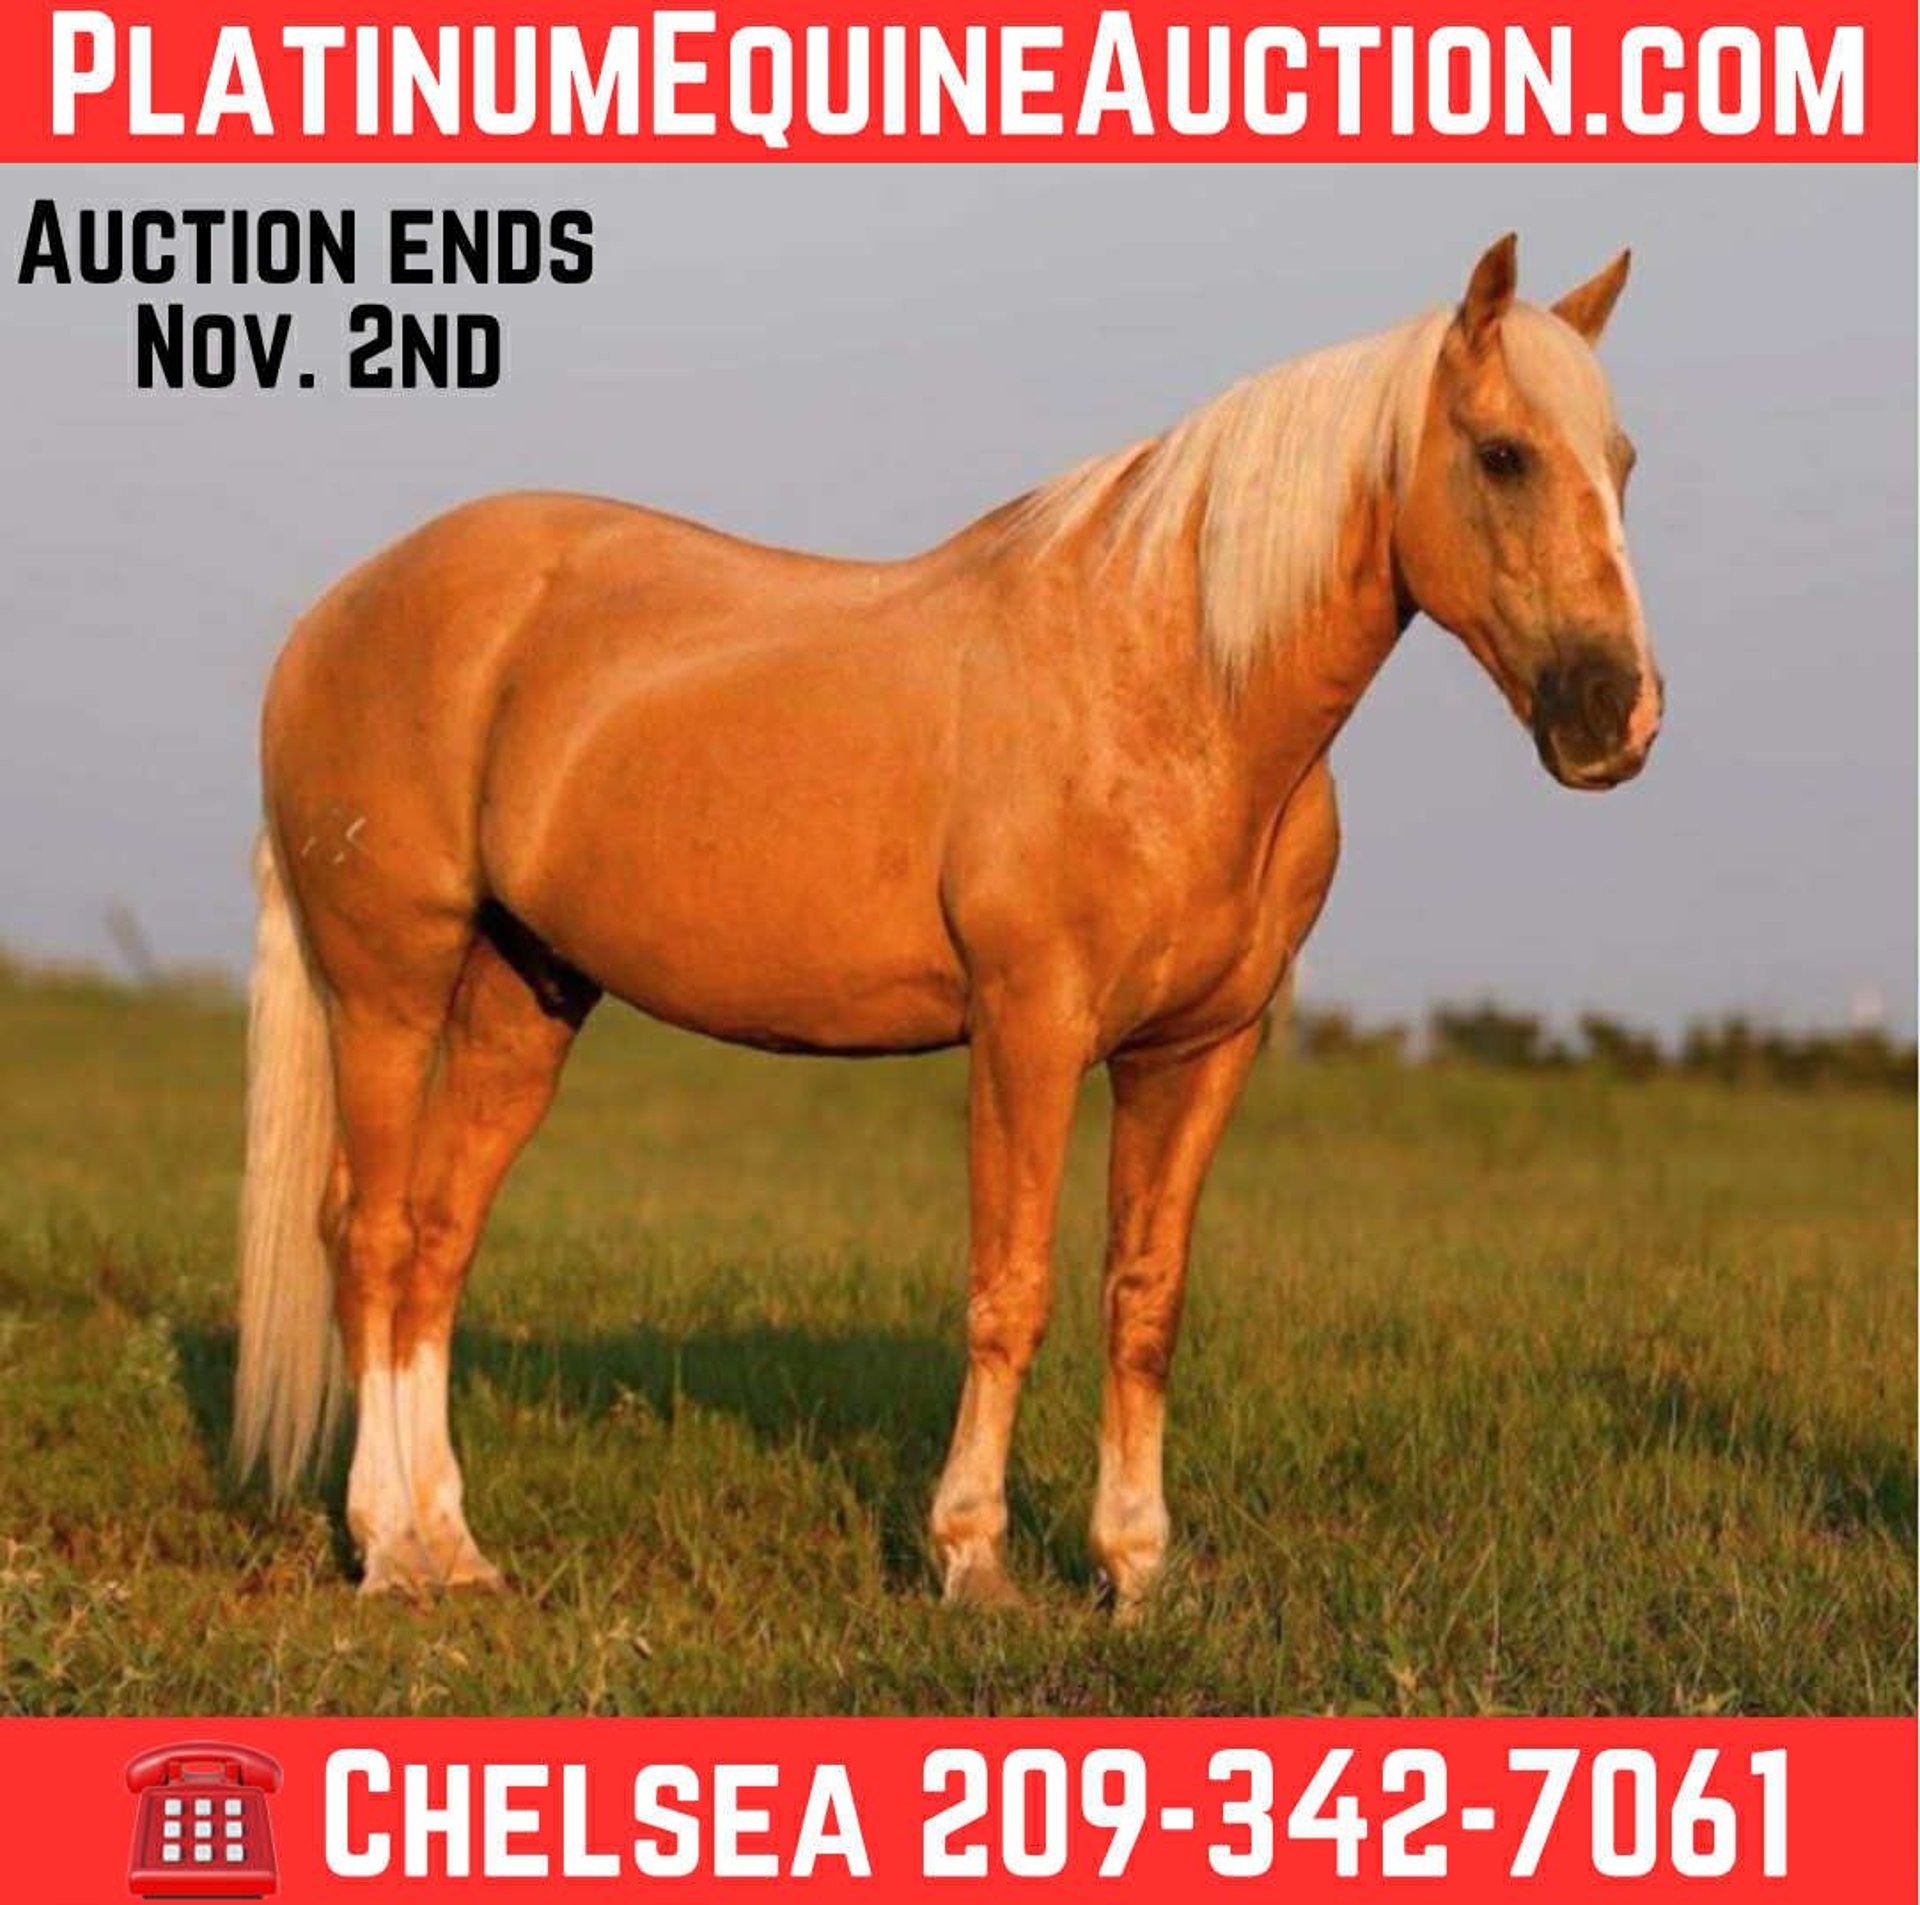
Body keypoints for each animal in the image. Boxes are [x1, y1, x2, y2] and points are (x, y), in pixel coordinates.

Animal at [234, 234, 1661, 1609]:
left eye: (1623, 463)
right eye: (1503, 455)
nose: (1617, 719)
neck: (1175, 688)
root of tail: (333, 613)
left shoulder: (1198, 1053)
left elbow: (1146, 1299)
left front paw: (1137, 1572)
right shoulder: (1028, 1030)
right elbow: (1011, 1287)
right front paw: (975, 1560)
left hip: (522, 996)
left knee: (436, 1239)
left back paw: (454, 1548)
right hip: (388, 983)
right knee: (368, 1235)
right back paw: (389, 1553)